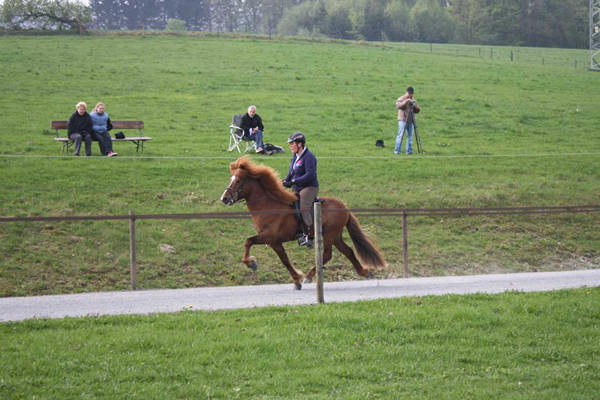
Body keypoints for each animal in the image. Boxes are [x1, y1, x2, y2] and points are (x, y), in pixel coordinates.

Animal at [220, 155, 384, 290]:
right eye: (230, 179)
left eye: (238, 181)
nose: (224, 199)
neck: (267, 205)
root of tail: (344, 207)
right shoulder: (273, 241)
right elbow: (281, 258)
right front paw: (295, 280)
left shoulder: (271, 238)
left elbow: (255, 244)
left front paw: (252, 263)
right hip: (335, 235)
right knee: (348, 251)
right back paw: (364, 272)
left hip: (330, 235)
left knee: (327, 255)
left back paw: (309, 277)